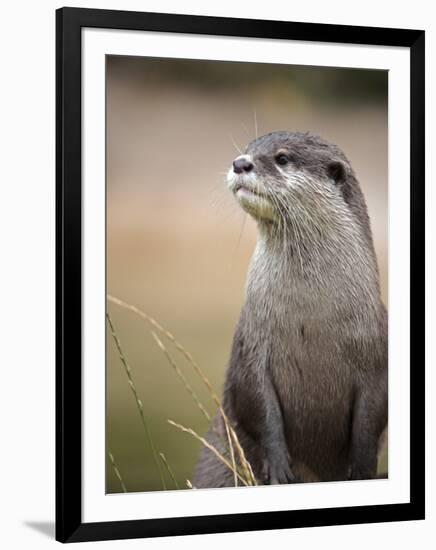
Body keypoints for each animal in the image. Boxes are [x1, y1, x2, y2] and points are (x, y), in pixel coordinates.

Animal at [195, 133, 388, 488]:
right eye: (249, 148)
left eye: (282, 158)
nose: (240, 162)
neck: (310, 318)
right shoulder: (251, 345)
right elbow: (259, 406)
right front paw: (279, 468)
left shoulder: (377, 355)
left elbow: (370, 422)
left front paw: (362, 472)